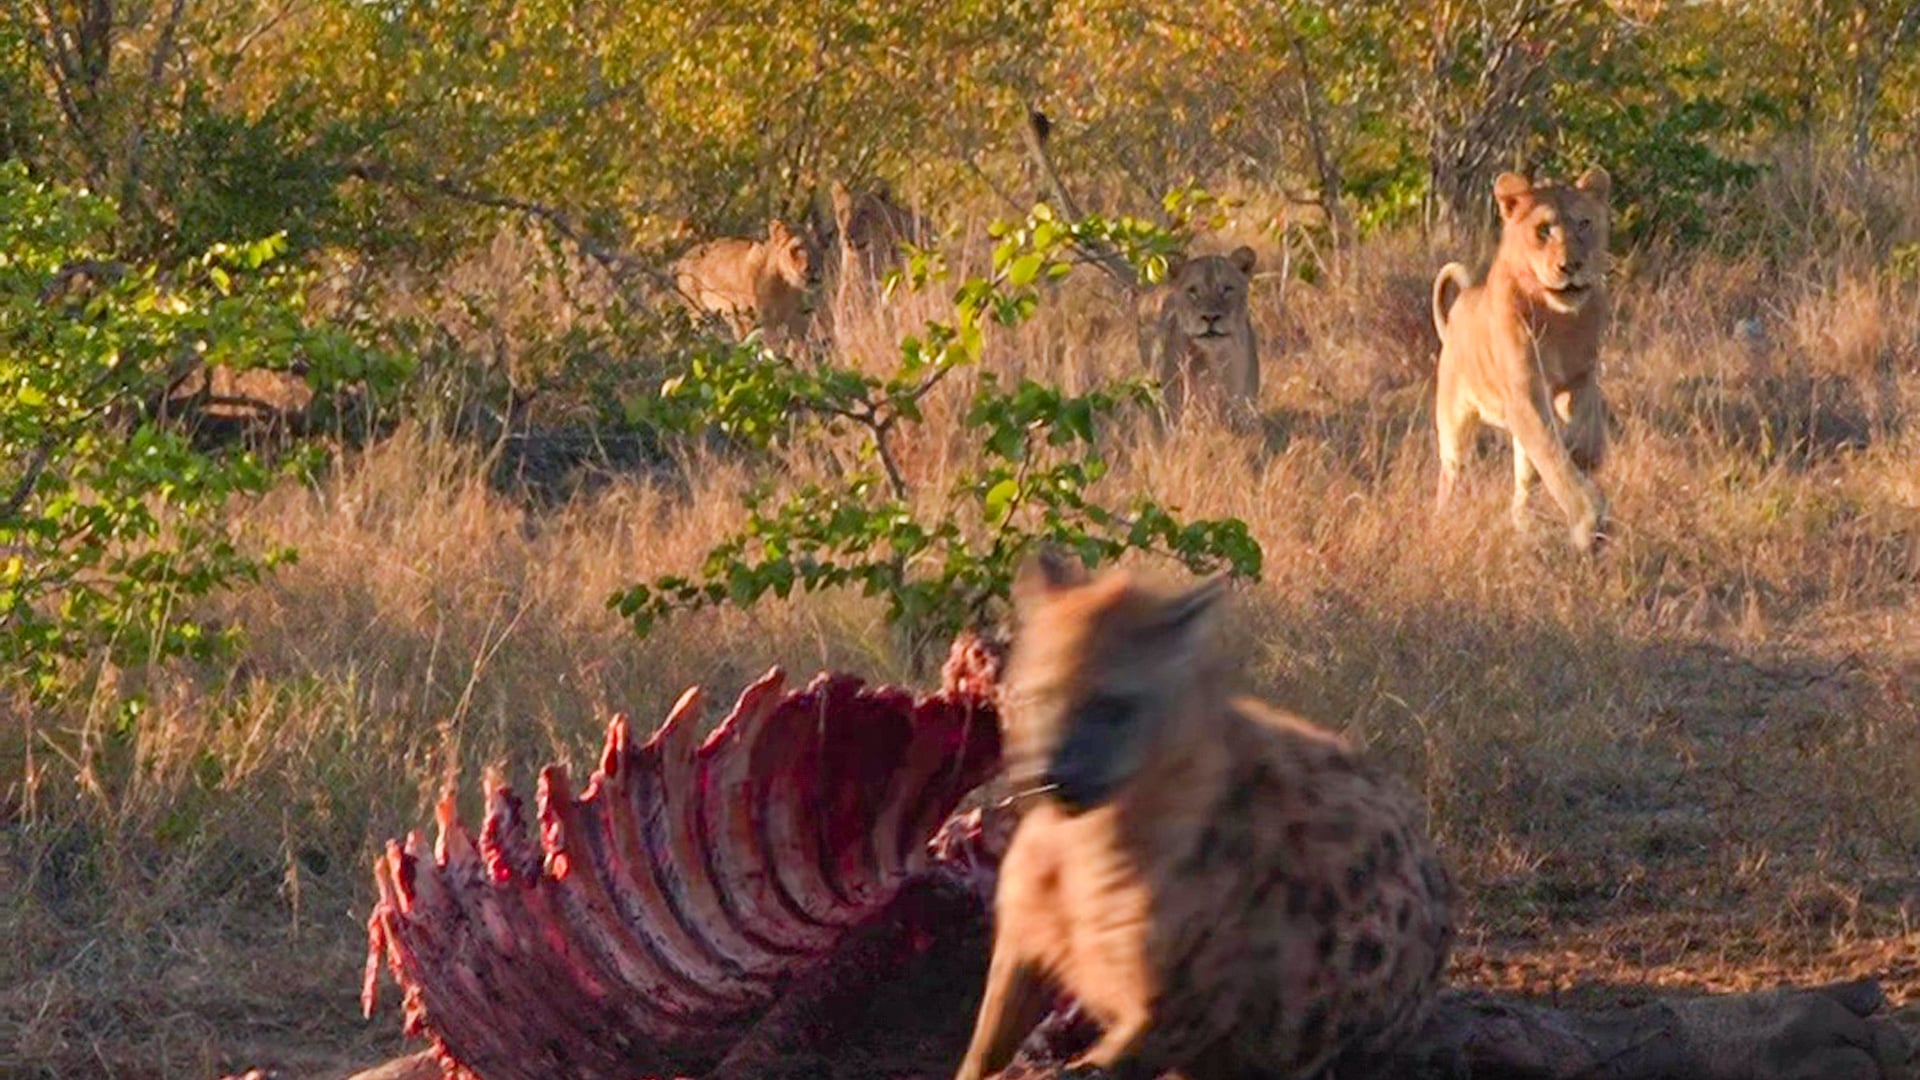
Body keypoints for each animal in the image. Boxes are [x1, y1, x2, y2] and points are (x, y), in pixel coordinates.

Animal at [670, 219, 817, 347]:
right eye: (797, 248)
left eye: (815, 247)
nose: (812, 269)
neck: (784, 285)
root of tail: (682, 259)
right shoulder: (759, 320)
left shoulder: (794, 318)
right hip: (699, 315)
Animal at [955, 552, 1455, 1080]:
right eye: (1039, 695)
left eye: (1115, 706)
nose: (1052, 776)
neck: (1089, 843)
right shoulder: (1026, 934)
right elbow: (985, 1044)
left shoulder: (1185, 1005)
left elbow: (1105, 1059)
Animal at [1432, 167, 1613, 552]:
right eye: (1543, 230)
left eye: (1584, 224)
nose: (1572, 265)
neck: (1558, 319)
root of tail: (1455, 313)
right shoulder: (1524, 393)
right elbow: (1552, 455)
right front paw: (1588, 521)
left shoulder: (1581, 376)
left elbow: (1584, 428)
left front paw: (1585, 454)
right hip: (1454, 425)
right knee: (1451, 472)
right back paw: (1443, 518)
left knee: (1522, 487)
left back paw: (1526, 524)